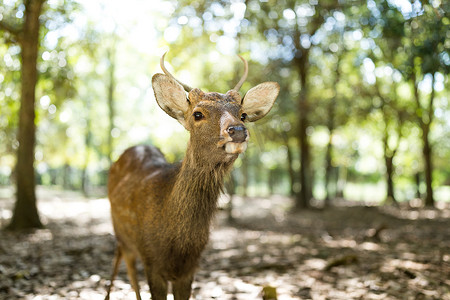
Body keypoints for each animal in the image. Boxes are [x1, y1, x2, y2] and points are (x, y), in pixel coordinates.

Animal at [105, 52, 280, 298]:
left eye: (243, 115)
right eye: (198, 114)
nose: (237, 131)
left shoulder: (190, 268)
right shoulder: (151, 260)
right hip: (121, 234)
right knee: (127, 268)